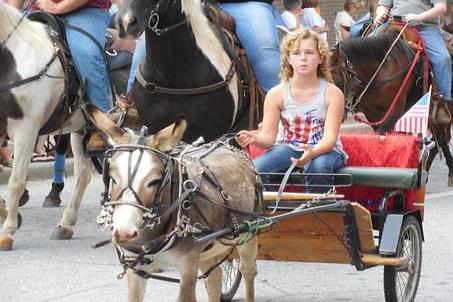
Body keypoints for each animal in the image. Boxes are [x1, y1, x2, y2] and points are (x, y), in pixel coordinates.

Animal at [0, 1, 93, 249]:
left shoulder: (27, 130)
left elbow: (16, 181)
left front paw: (7, 231)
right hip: (80, 128)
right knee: (83, 172)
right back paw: (66, 224)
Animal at [328, 28, 452, 186]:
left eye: (336, 80)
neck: (381, 71)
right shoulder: (374, 115)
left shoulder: (394, 112)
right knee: (440, 139)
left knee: (441, 137)